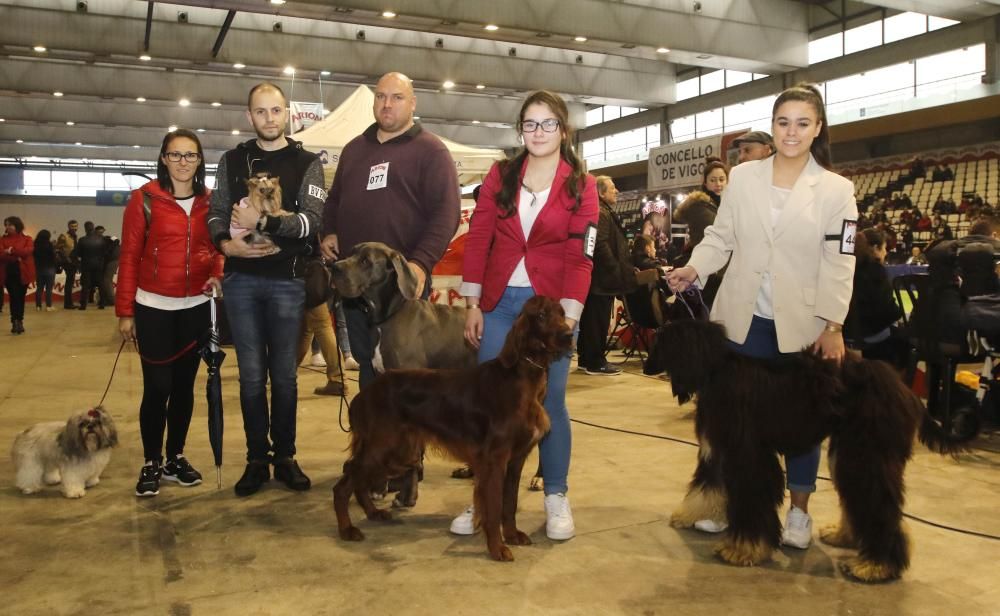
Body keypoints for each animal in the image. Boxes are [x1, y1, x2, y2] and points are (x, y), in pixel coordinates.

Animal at [334, 296, 576, 560]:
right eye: (541, 315)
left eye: (562, 313)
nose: (568, 334)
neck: (521, 377)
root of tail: (365, 393)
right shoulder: (495, 459)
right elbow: (493, 507)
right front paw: (497, 548)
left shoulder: (515, 459)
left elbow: (509, 503)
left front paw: (512, 535)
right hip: (385, 447)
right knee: (344, 482)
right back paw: (347, 529)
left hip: (396, 451)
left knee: (356, 476)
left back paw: (372, 513)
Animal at [648, 320, 968, 584]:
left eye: (661, 340)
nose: (647, 366)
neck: (716, 371)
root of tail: (905, 389)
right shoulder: (718, 448)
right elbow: (708, 484)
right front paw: (692, 514)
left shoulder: (748, 454)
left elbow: (752, 499)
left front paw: (743, 548)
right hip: (849, 452)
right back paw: (846, 536)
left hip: (866, 452)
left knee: (878, 503)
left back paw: (875, 565)